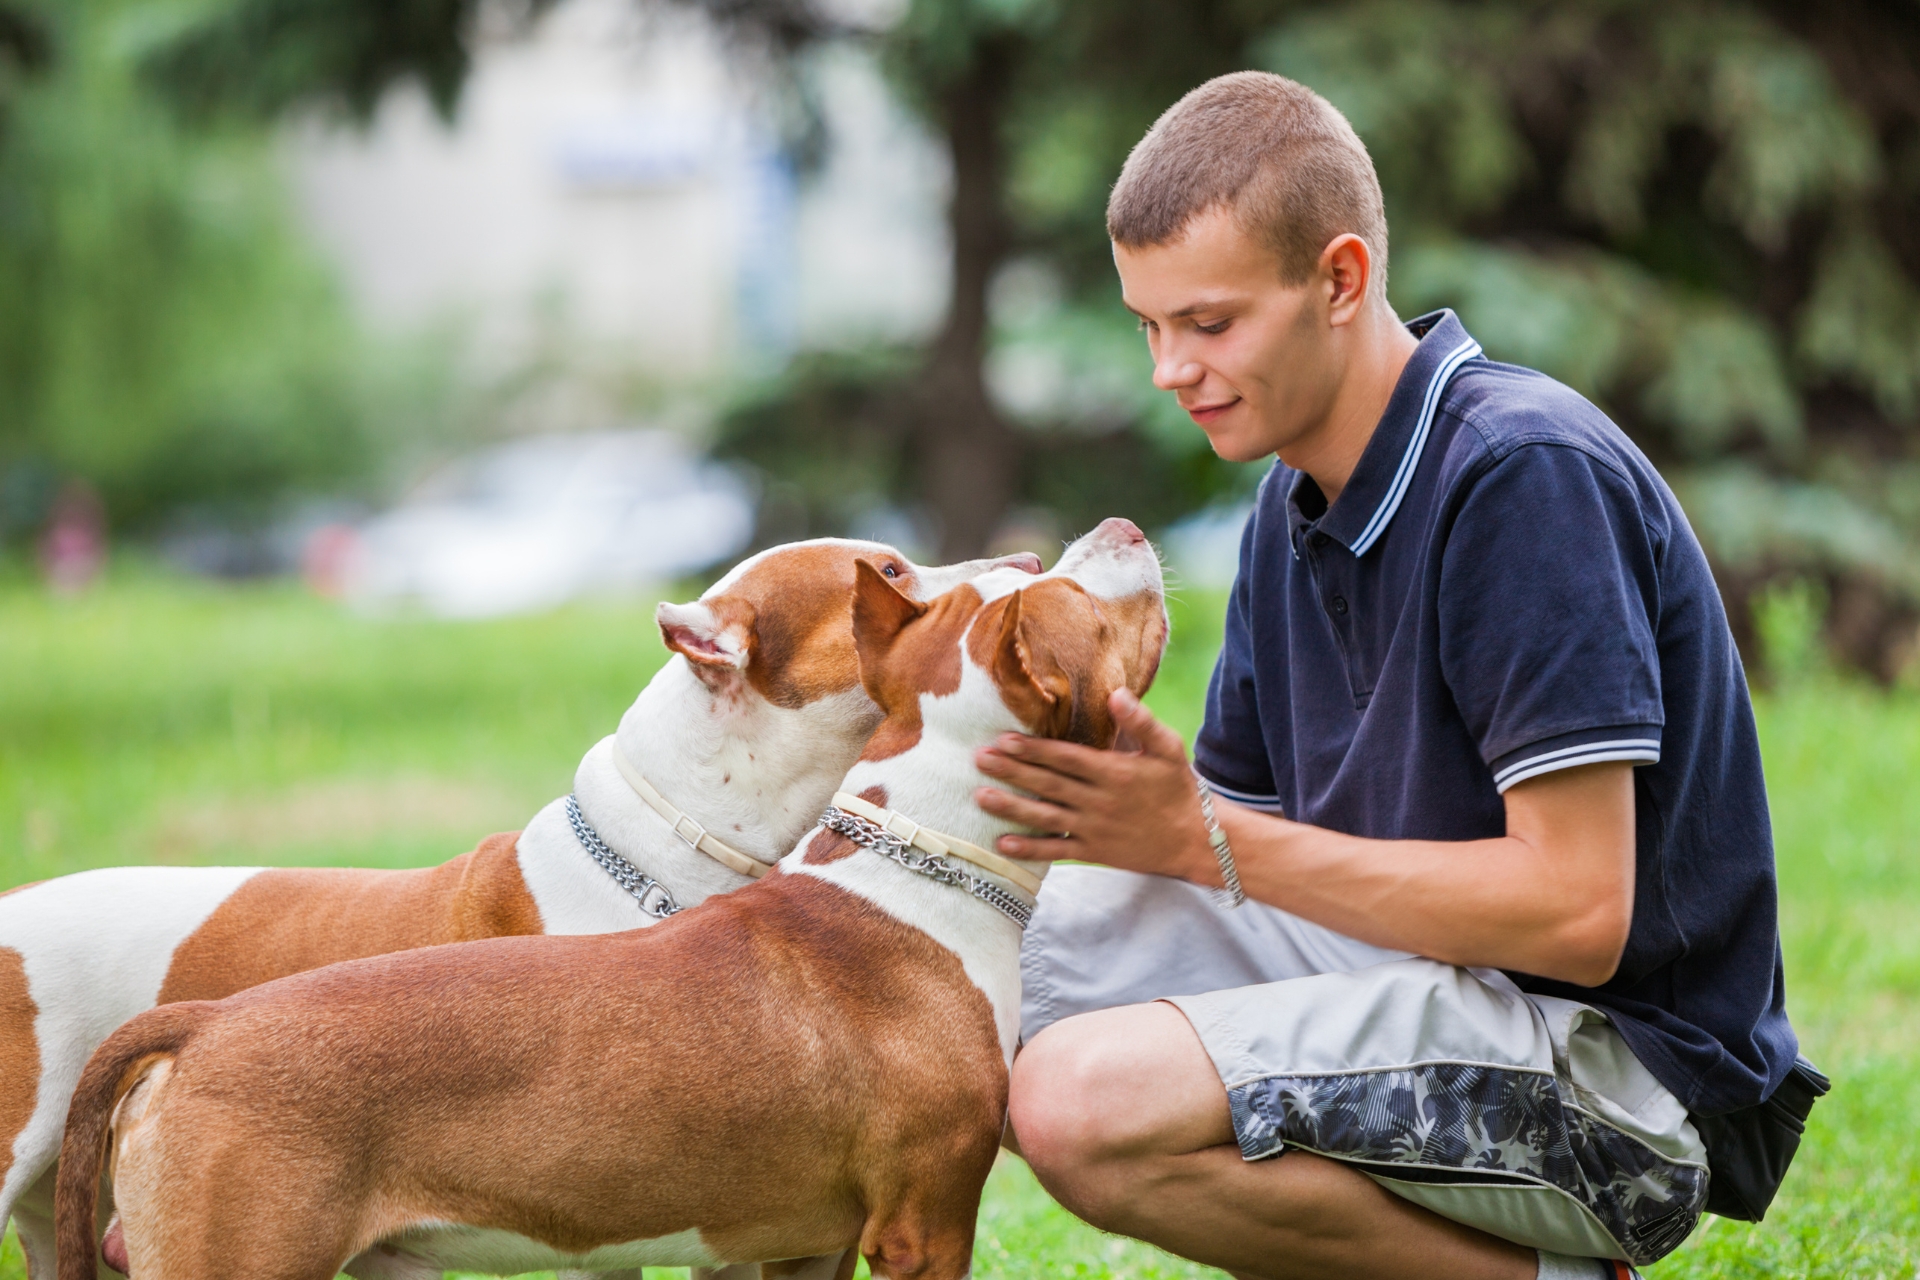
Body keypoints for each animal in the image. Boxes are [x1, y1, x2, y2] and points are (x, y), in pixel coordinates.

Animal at [56, 518, 1167, 1280]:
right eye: (1086, 606)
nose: (1104, 531)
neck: (911, 867)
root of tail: (202, 1027)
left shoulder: (798, 1246)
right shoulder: (924, 1227)